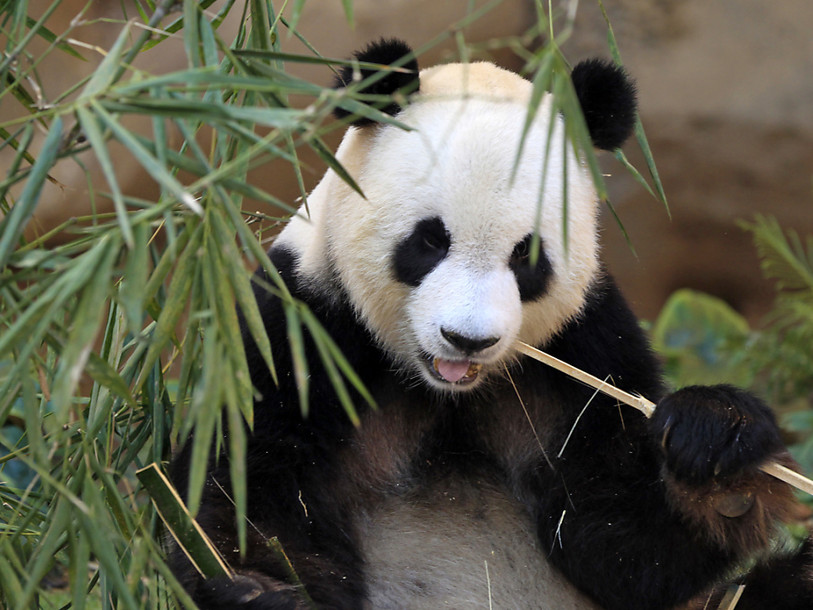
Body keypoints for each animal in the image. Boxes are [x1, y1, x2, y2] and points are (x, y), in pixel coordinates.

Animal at [170, 39, 813, 609]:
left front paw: (718, 453)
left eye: (528, 257)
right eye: (430, 241)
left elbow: (620, 543)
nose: (467, 340)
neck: (444, 393)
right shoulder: (304, 325)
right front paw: (258, 591)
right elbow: (245, 493)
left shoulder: (586, 347)